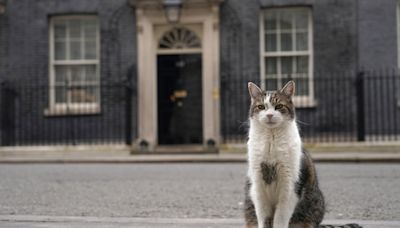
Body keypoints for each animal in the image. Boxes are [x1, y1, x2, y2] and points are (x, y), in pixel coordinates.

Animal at [242, 81, 360, 228]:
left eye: (279, 106)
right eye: (261, 107)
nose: (269, 115)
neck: (271, 140)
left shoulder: (290, 186)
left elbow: (280, 218)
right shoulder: (258, 185)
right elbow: (263, 218)